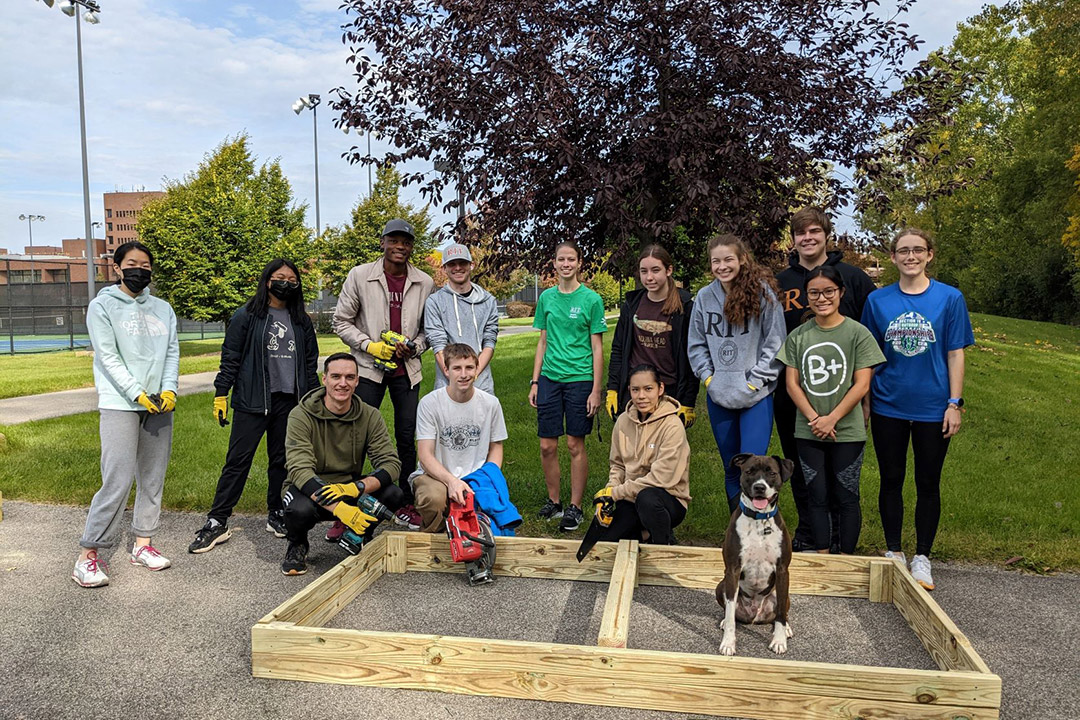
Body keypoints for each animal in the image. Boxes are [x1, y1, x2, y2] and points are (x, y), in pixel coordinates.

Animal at [717, 453, 794, 656]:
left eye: (772, 473)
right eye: (749, 471)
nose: (760, 487)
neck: (760, 520)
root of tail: (755, 615)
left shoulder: (783, 570)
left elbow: (780, 614)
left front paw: (779, 640)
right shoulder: (733, 570)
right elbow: (730, 613)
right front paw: (728, 643)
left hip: (785, 595)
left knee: (782, 611)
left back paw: (786, 628)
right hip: (721, 586)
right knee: (730, 610)